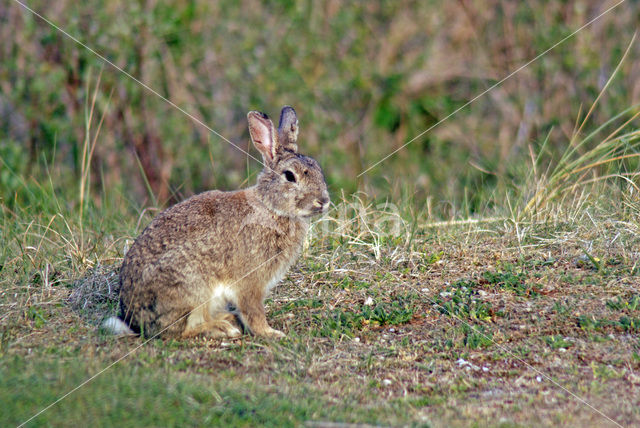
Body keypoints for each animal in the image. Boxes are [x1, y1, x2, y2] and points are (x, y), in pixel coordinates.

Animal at [104, 105, 330, 340]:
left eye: (317, 169)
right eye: (289, 176)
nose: (323, 201)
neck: (270, 206)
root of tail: (135, 321)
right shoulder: (250, 281)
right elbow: (253, 310)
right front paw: (271, 333)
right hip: (193, 288)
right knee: (179, 330)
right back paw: (222, 328)